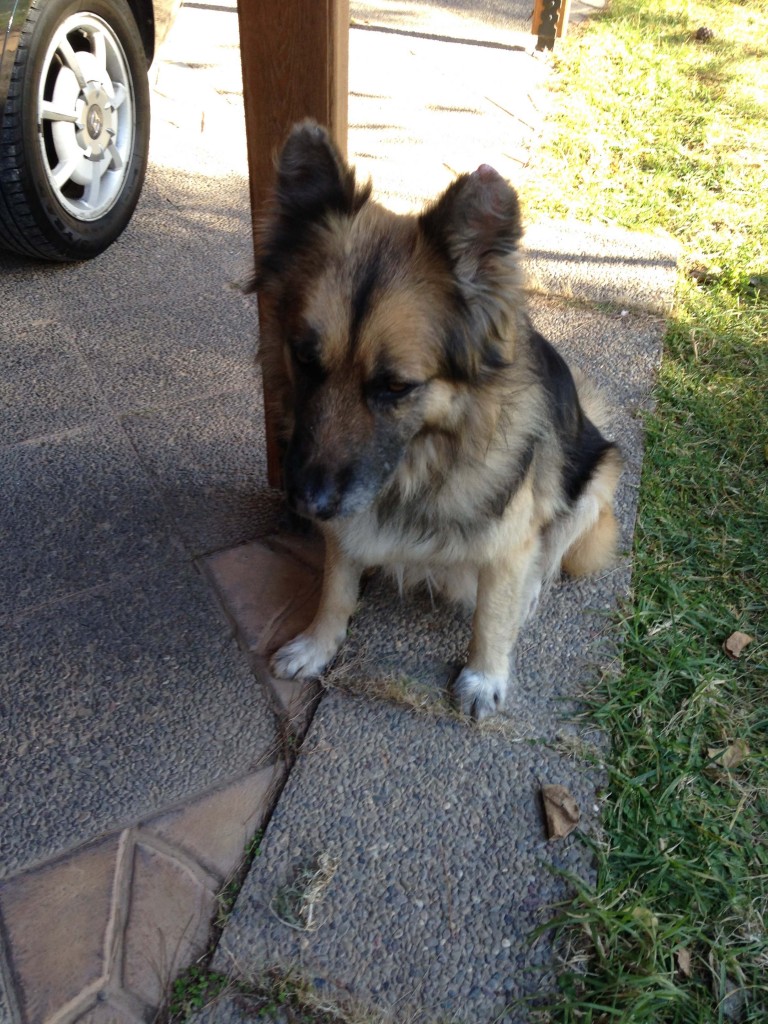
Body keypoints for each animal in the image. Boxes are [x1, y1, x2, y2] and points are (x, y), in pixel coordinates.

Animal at [252, 121, 626, 720]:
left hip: (600, 473)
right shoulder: (348, 521)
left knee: (553, 551)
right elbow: (336, 585)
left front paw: (484, 676)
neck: (421, 463)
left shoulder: (510, 541)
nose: (307, 502)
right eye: (305, 358)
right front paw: (318, 643)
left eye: (396, 386)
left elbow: (492, 613)